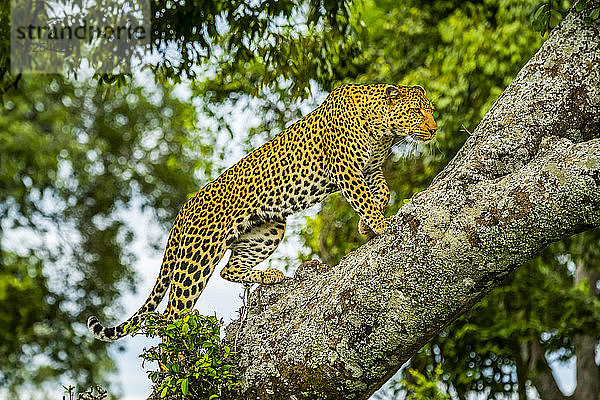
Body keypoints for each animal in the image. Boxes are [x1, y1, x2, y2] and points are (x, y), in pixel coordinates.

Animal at [88, 83, 436, 340]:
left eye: (430, 110)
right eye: (417, 111)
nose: (434, 130)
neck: (381, 127)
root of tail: (184, 208)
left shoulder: (371, 169)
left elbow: (382, 193)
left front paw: (367, 225)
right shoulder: (347, 170)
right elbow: (364, 197)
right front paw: (381, 225)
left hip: (270, 227)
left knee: (230, 270)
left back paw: (268, 275)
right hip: (197, 258)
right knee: (171, 317)